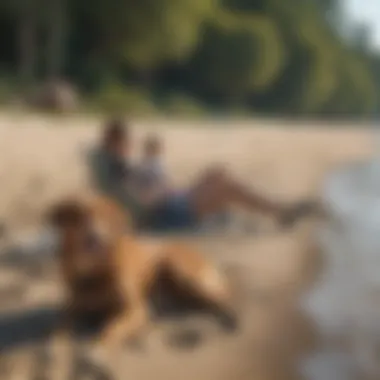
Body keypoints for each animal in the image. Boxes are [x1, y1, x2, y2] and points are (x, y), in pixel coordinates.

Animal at [47, 196, 238, 354]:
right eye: (82, 216)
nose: (95, 237)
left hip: (181, 269)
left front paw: (99, 348)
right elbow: (57, 333)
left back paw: (228, 318)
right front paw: (54, 356)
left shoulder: (137, 310)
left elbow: (112, 328)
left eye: (109, 219)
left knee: (223, 296)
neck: (93, 275)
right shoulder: (69, 311)